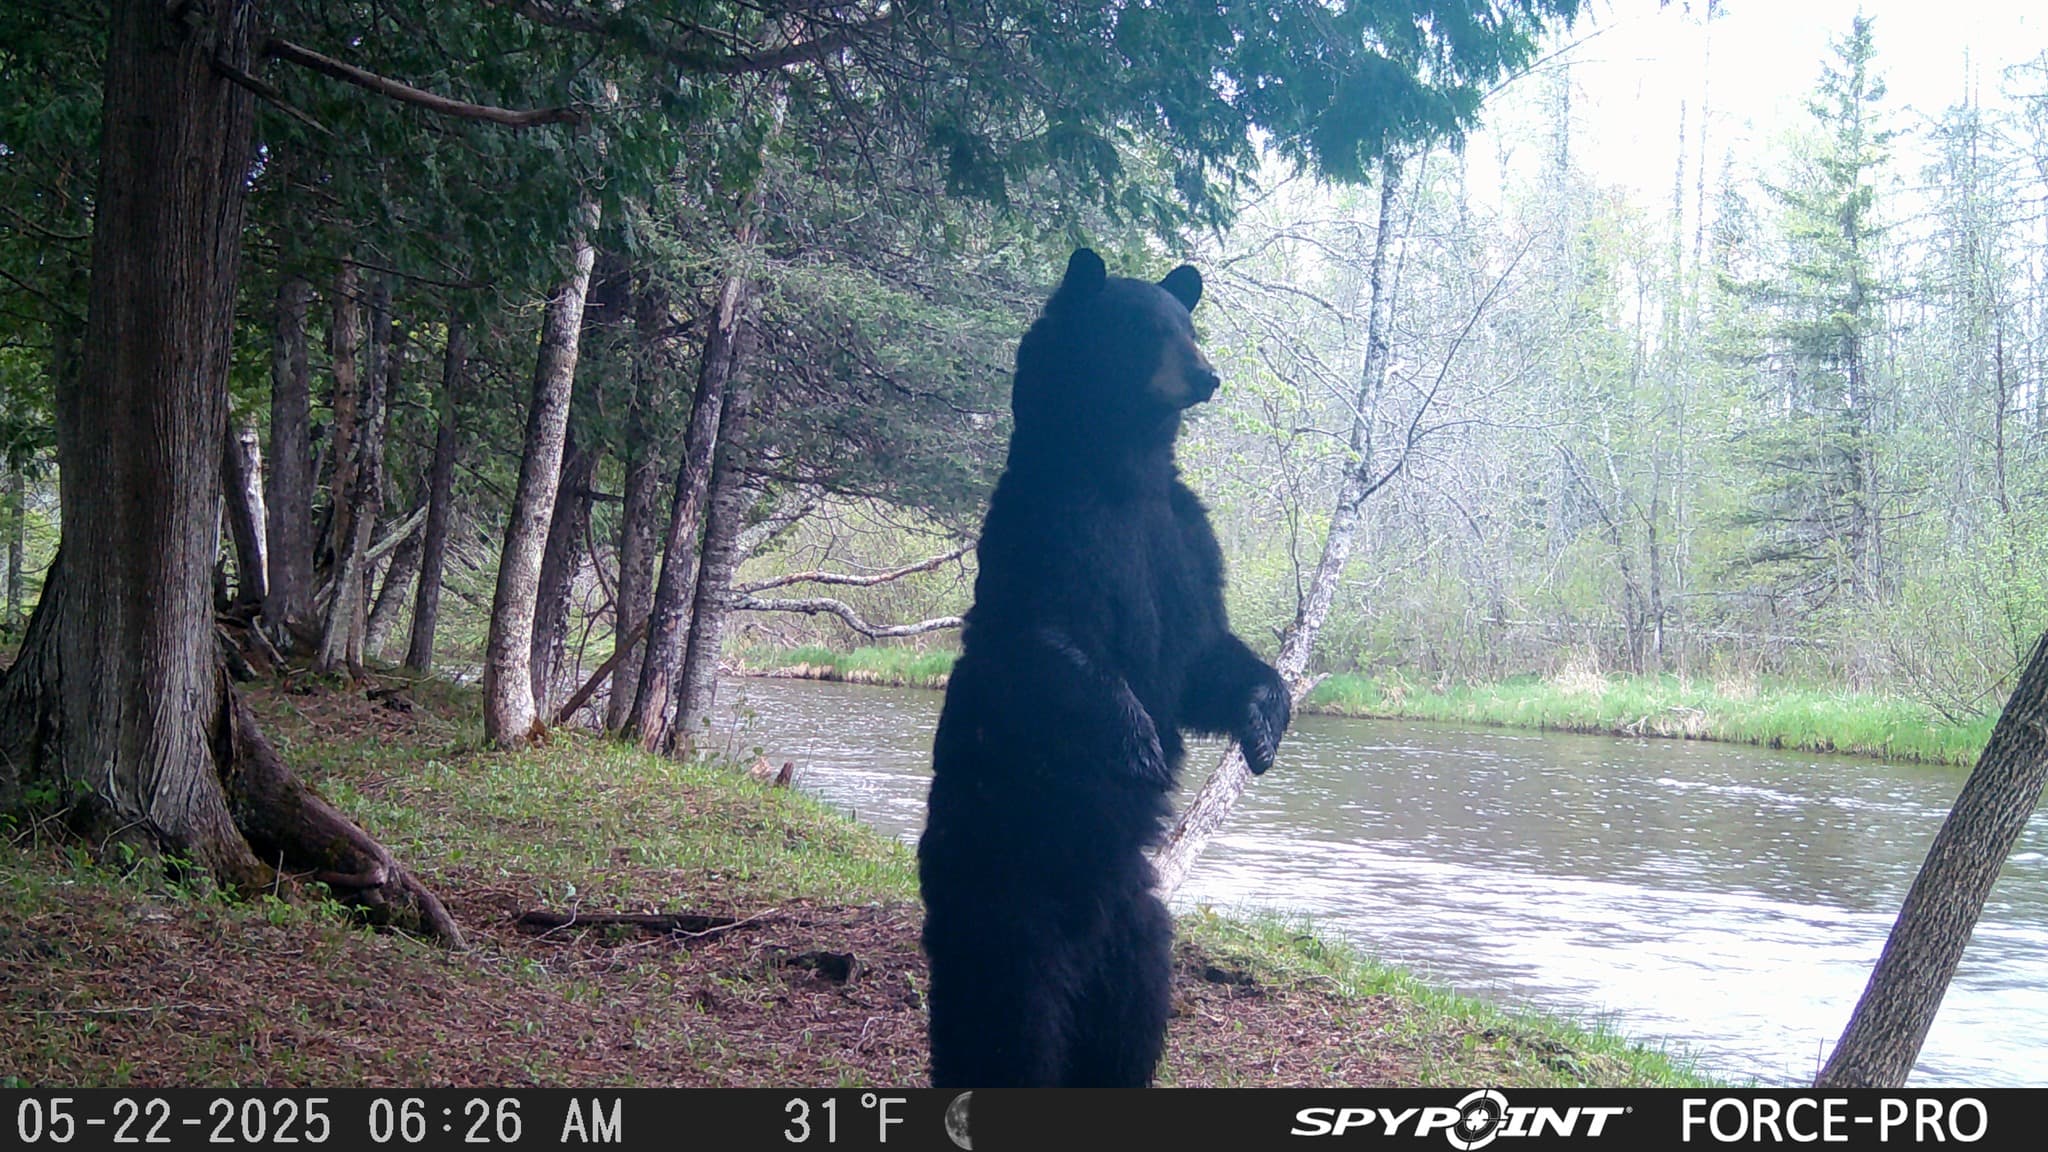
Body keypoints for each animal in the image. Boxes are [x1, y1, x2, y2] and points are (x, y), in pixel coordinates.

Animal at [918, 248, 1292, 1088]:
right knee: (1007, 1021)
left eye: (1189, 325)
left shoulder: (1181, 542)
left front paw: (1263, 719)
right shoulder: (1051, 531)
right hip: (1006, 898)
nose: (1207, 375)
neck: (1125, 472)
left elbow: (1203, 653)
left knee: (1128, 1026)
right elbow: (1050, 641)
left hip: (1143, 936)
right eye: (1145, 329)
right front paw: (1137, 739)